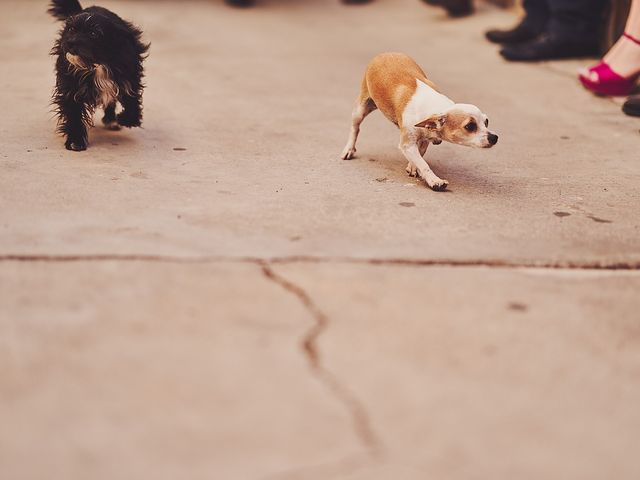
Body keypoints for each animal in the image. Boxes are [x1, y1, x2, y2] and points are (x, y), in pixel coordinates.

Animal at [49, 0, 149, 151]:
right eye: (71, 29)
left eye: (93, 33)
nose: (70, 43)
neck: (98, 64)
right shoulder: (71, 87)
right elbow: (73, 113)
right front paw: (75, 141)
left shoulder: (129, 77)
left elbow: (131, 99)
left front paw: (127, 119)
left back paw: (112, 120)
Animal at [342, 54, 498, 191]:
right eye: (470, 126)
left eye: (486, 121)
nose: (494, 137)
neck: (437, 108)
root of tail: (383, 54)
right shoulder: (407, 144)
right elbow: (424, 164)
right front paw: (435, 181)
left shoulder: (424, 137)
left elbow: (420, 154)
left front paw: (413, 166)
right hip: (361, 109)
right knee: (355, 128)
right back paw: (349, 149)